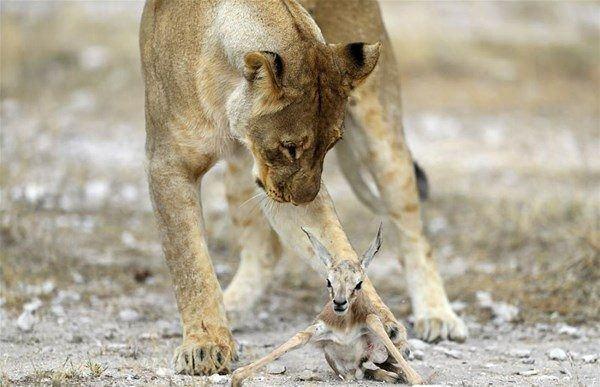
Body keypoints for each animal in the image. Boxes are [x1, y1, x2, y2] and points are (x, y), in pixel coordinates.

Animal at [230, 226, 422, 386]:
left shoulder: (372, 325)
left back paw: (395, 375)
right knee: (369, 370)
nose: (339, 302)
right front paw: (237, 376)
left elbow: (374, 321)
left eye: (359, 283)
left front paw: (410, 376)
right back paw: (390, 376)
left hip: (390, 350)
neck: (345, 328)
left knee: (383, 363)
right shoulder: (319, 332)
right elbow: (298, 338)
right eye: (329, 281)